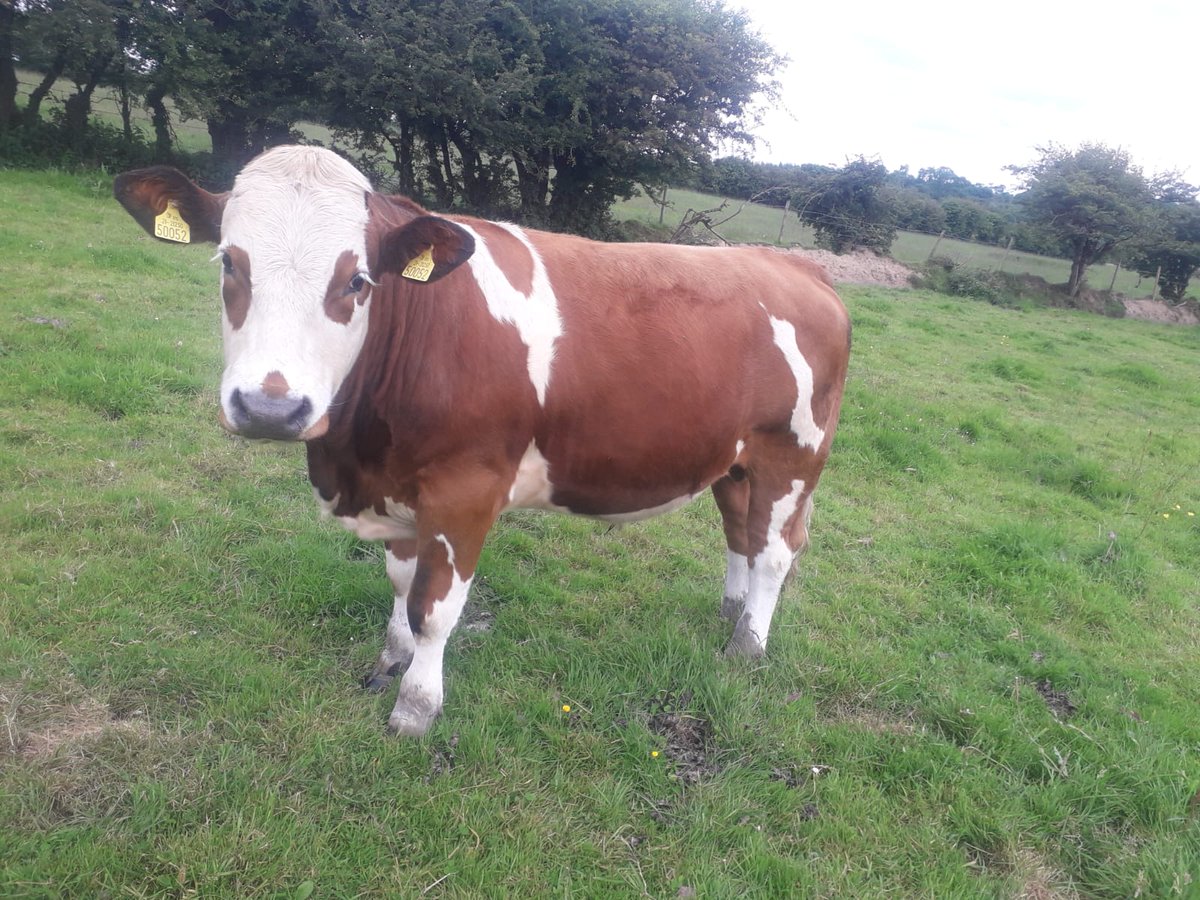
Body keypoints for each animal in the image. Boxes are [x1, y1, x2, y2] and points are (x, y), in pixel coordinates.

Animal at [113, 146, 851, 737]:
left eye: (357, 281)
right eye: (228, 264)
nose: (270, 407)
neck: (356, 455)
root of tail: (795, 268)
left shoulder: (464, 491)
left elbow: (435, 608)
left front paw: (415, 708)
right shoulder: (397, 488)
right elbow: (400, 584)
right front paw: (389, 659)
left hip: (793, 454)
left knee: (776, 550)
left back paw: (747, 646)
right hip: (735, 460)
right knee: (742, 533)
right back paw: (731, 611)